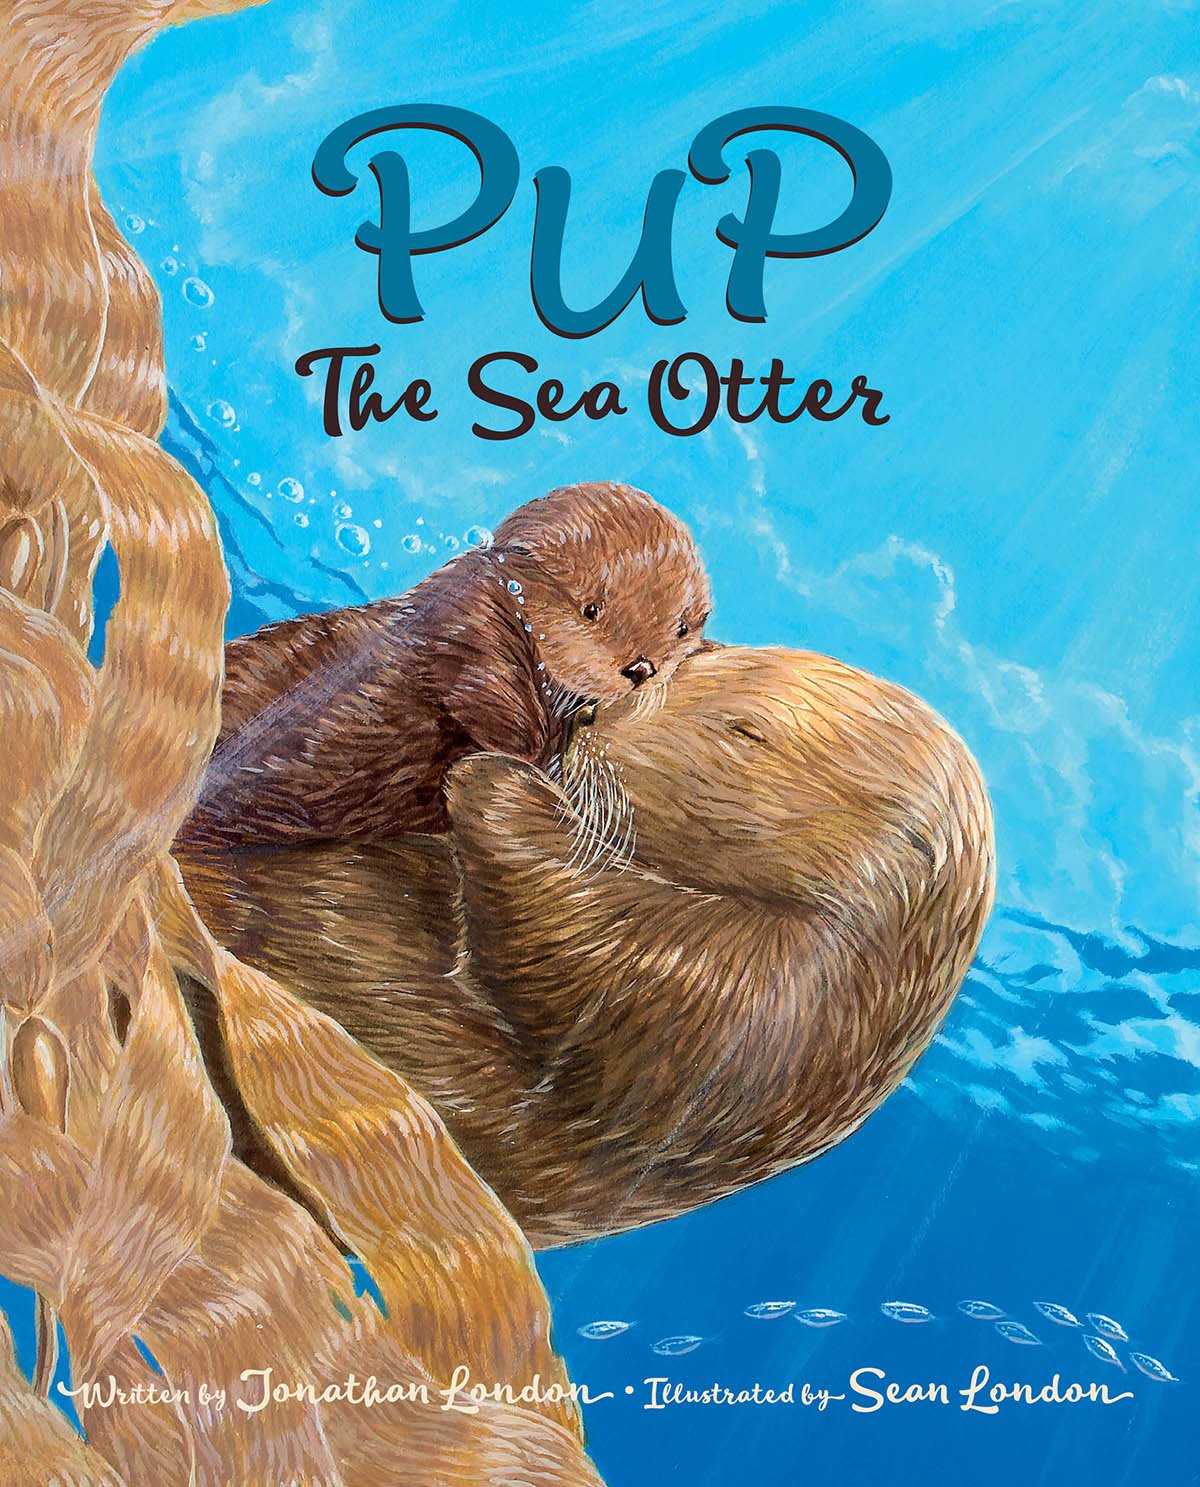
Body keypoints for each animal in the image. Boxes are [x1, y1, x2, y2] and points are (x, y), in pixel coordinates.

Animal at [176, 646, 995, 1247]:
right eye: (672, 668)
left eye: (746, 732)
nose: (591, 714)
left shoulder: (756, 1016)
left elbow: (583, 954)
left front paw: (495, 781)